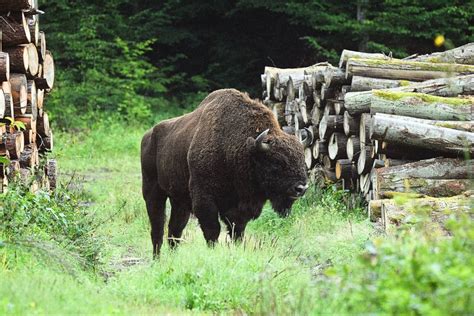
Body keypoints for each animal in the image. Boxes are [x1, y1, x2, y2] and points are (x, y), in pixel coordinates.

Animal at [141, 89, 310, 256]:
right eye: (277, 162)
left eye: (302, 159)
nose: (301, 188)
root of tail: (148, 136)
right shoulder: (204, 200)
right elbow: (212, 230)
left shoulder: (240, 208)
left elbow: (237, 231)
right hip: (153, 193)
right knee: (157, 226)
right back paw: (157, 257)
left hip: (179, 200)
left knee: (175, 229)